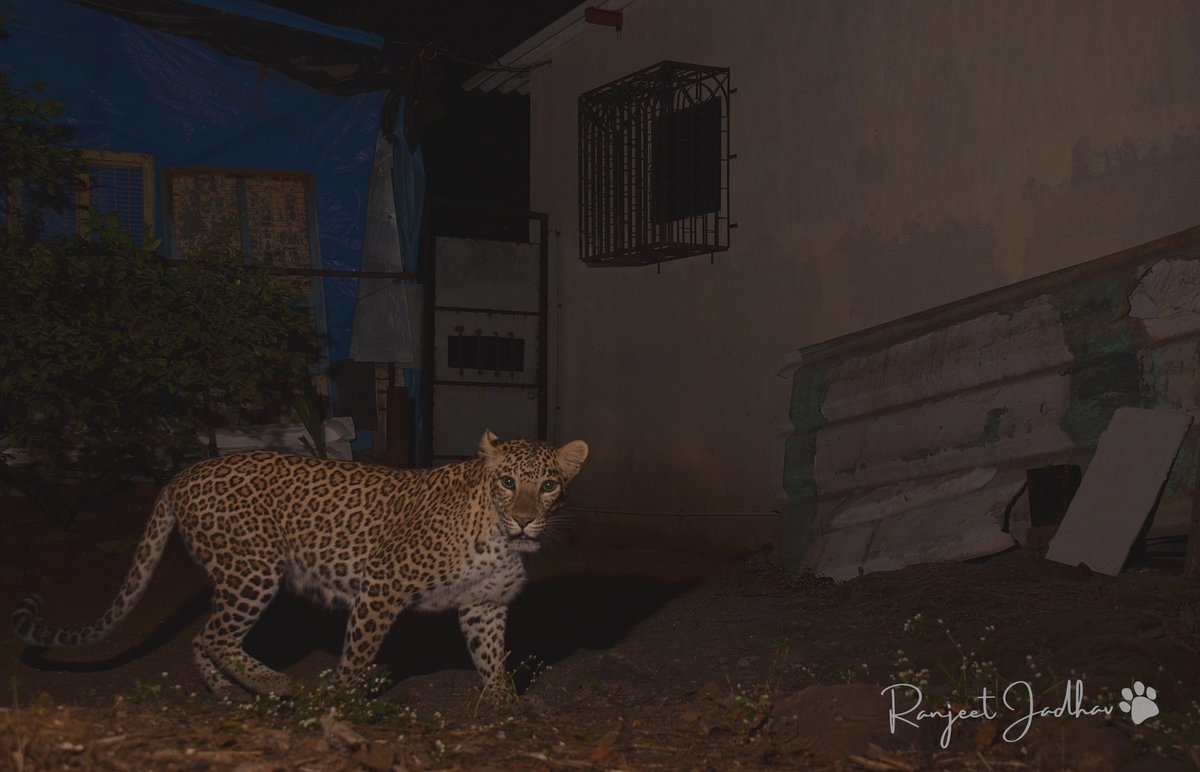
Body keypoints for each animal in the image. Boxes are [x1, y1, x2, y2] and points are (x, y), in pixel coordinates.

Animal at [11, 430, 588, 698]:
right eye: (507, 481)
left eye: (549, 485)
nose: (524, 521)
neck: (500, 540)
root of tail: (181, 476)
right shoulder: (380, 588)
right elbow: (358, 655)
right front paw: (340, 699)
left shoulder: (484, 606)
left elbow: (492, 660)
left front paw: (504, 707)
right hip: (252, 570)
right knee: (216, 636)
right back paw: (272, 683)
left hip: (236, 575)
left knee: (201, 638)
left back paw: (229, 692)